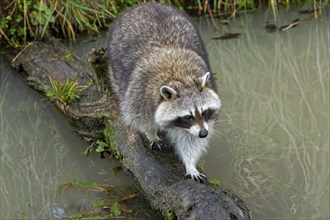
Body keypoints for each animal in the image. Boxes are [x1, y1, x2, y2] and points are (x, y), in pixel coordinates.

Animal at [108, 3, 222, 182]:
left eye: (204, 112)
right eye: (188, 117)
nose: (204, 133)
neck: (180, 78)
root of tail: (145, 5)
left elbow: (191, 141)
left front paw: (190, 163)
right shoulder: (139, 95)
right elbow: (141, 119)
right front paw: (151, 133)